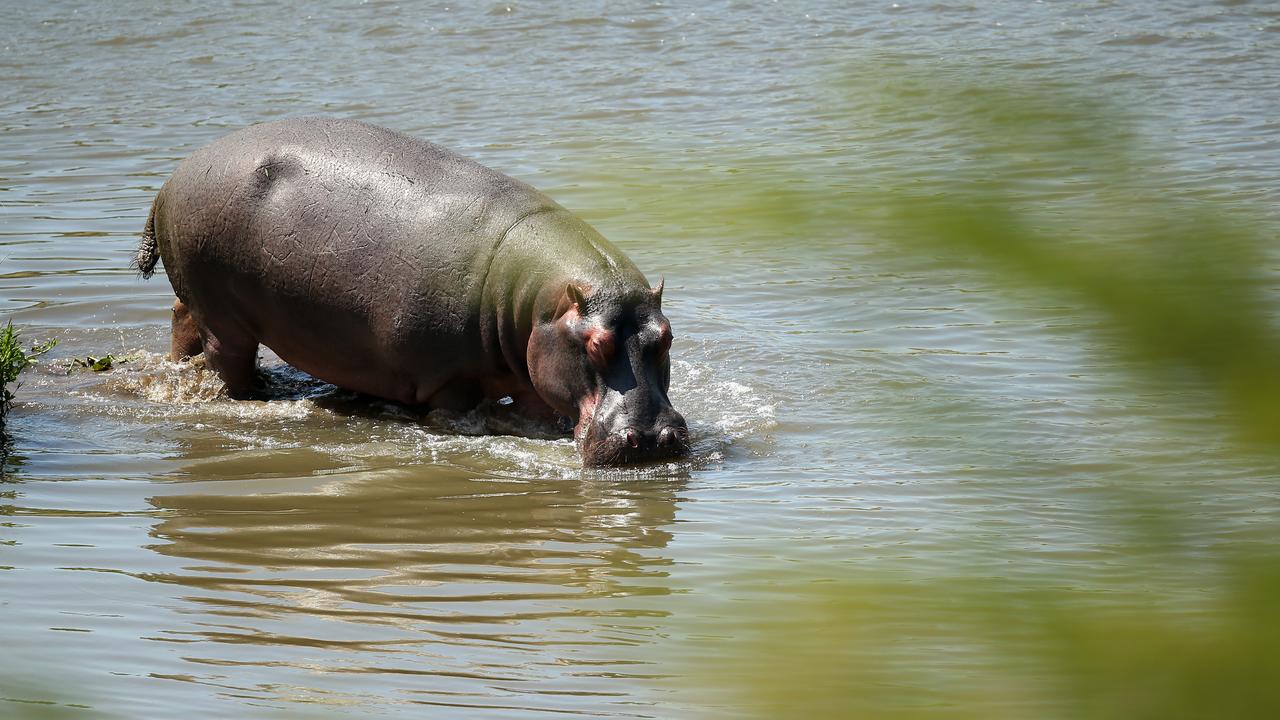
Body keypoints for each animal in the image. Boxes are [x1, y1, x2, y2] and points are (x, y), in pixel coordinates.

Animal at [132, 116, 691, 466]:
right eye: (595, 344)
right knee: (228, 360)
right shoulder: (448, 381)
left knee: (182, 321)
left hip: (200, 301)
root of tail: (171, 178)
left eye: (667, 337)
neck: (535, 302)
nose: (654, 438)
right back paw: (256, 394)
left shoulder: (534, 376)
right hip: (226, 318)